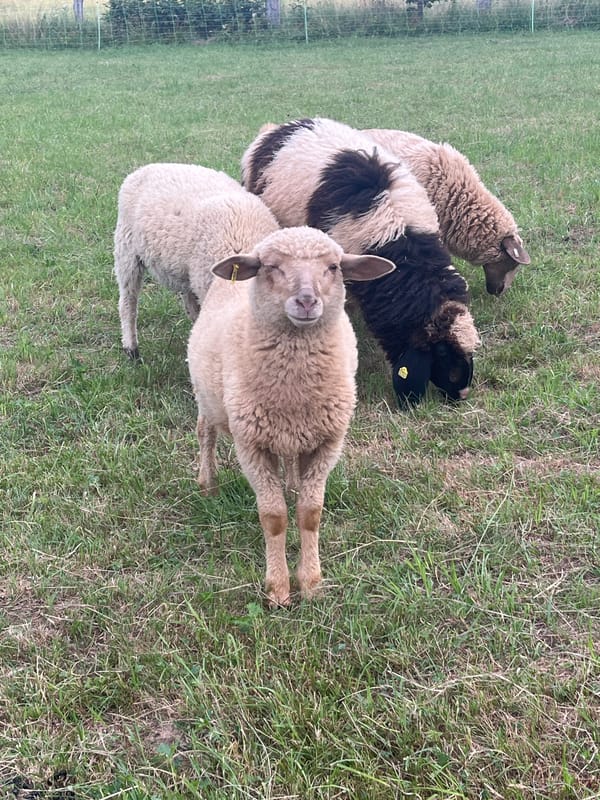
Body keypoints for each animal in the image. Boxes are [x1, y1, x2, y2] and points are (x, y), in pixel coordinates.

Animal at [187, 225, 395, 606]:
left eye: (333, 267)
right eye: (270, 266)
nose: (307, 301)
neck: (294, 388)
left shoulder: (328, 441)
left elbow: (310, 514)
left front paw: (311, 583)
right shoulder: (251, 445)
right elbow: (274, 517)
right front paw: (278, 589)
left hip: (292, 432)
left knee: (290, 461)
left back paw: (291, 483)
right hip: (207, 397)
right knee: (205, 433)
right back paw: (208, 483)